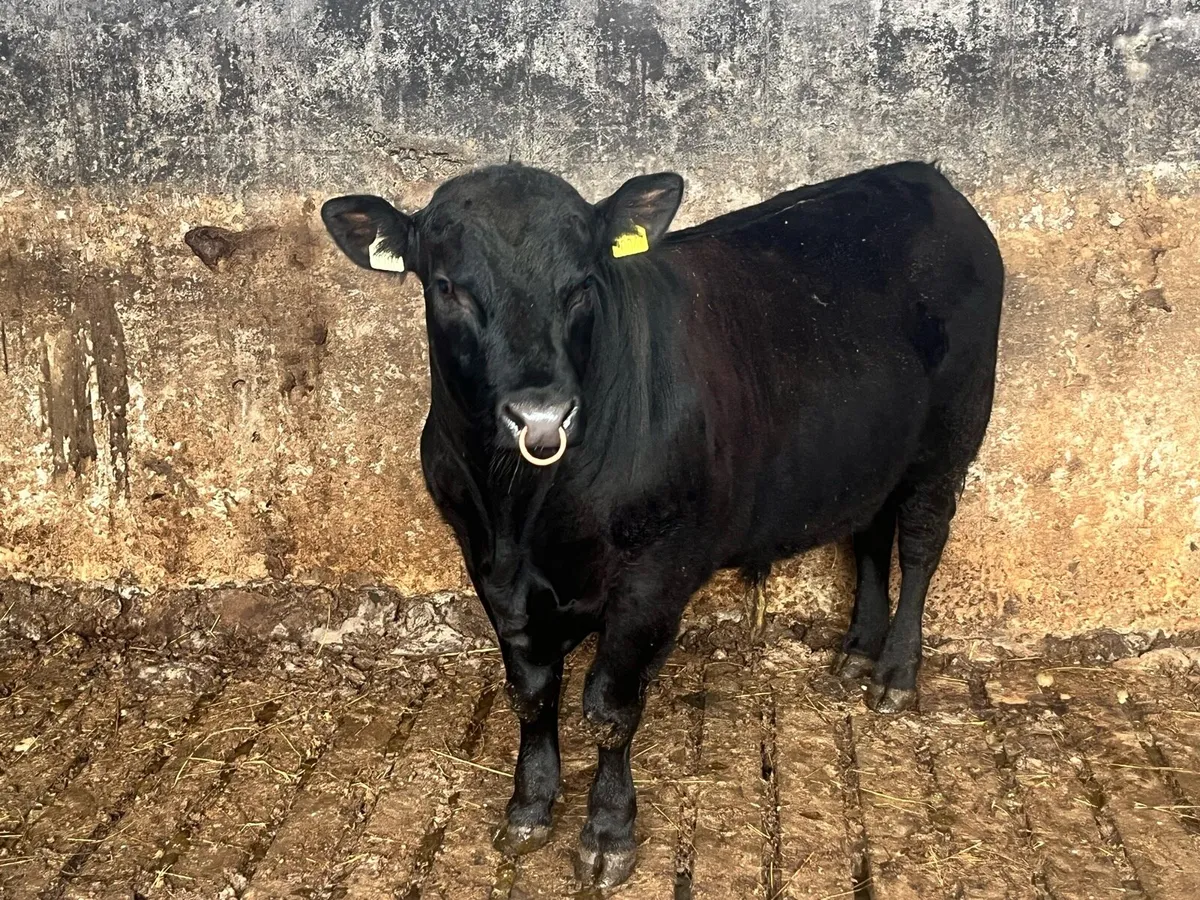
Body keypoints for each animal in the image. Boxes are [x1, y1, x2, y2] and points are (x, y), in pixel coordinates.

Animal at [321, 160, 1003, 888]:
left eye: (583, 284)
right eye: (446, 286)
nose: (541, 415)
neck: (524, 509)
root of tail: (922, 175)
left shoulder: (653, 577)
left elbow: (610, 709)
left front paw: (608, 833)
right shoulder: (491, 569)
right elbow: (531, 693)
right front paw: (529, 806)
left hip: (951, 437)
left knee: (922, 542)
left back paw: (896, 674)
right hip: (869, 456)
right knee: (870, 535)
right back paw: (856, 653)